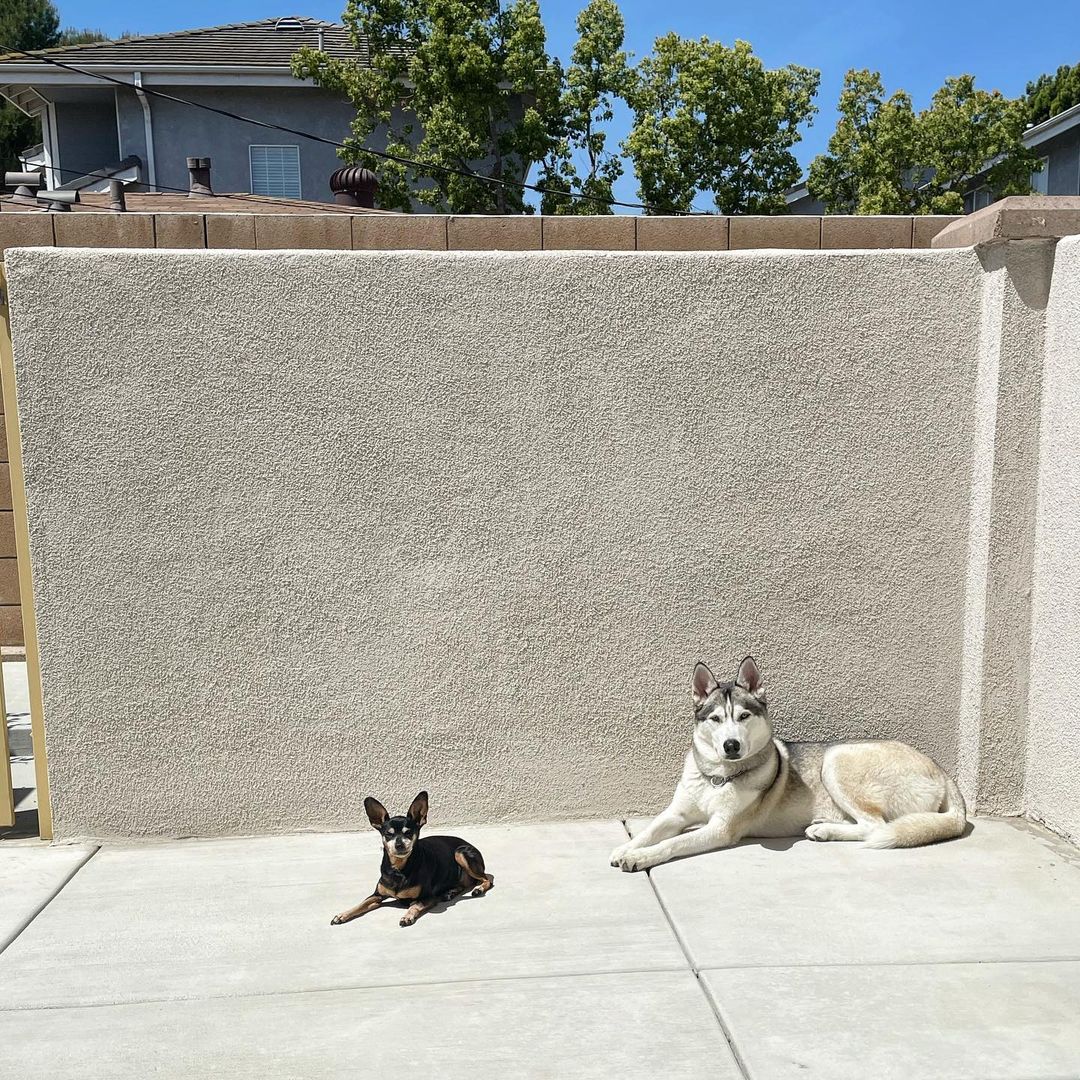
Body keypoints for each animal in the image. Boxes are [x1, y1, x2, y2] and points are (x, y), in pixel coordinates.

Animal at [330, 790, 494, 924]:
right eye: (388, 834)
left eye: (408, 832)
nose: (399, 845)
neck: (398, 869)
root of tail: (469, 844)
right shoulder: (377, 895)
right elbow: (361, 904)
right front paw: (343, 914)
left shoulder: (428, 897)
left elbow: (414, 905)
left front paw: (407, 916)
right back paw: (450, 892)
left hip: (460, 852)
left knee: (487, 878)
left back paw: (478, 888)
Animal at [609, 652, 972, 872]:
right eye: (715, 719)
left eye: (743, 716)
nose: (731, 745)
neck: (717, 777)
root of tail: (941, 770)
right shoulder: (677, 813)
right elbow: (652, 830)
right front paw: (625, 848)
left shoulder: (721, 828)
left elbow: (673, 842)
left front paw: (639, 857)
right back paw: (824, 828)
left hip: (836, 759)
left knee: (877, 827)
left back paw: (826, 829)